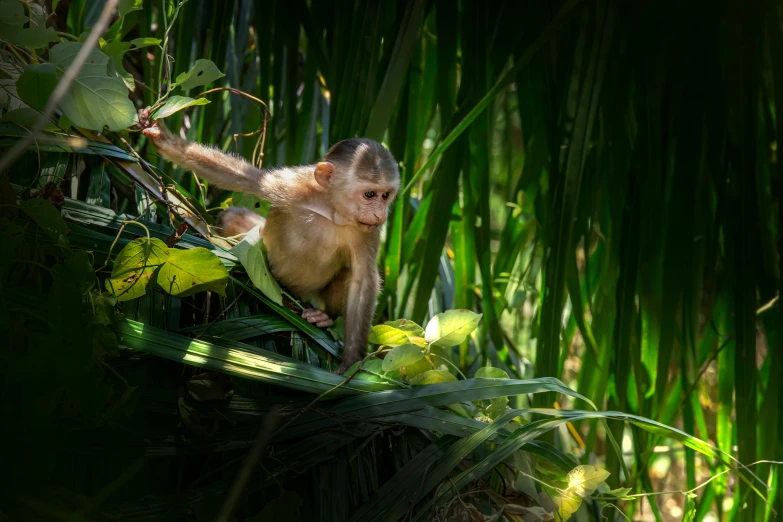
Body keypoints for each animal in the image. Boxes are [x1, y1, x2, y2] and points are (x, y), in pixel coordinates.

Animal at [136, 108, 402, 374]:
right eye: (369, 194)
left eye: (385, 196)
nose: (380, 213)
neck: (332, 210)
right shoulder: (292, 186)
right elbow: (249, 179)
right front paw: (164, 140)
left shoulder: (368, 232)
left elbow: (363, 279)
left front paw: (352, 361)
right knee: (234, 217)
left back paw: (323, 317)